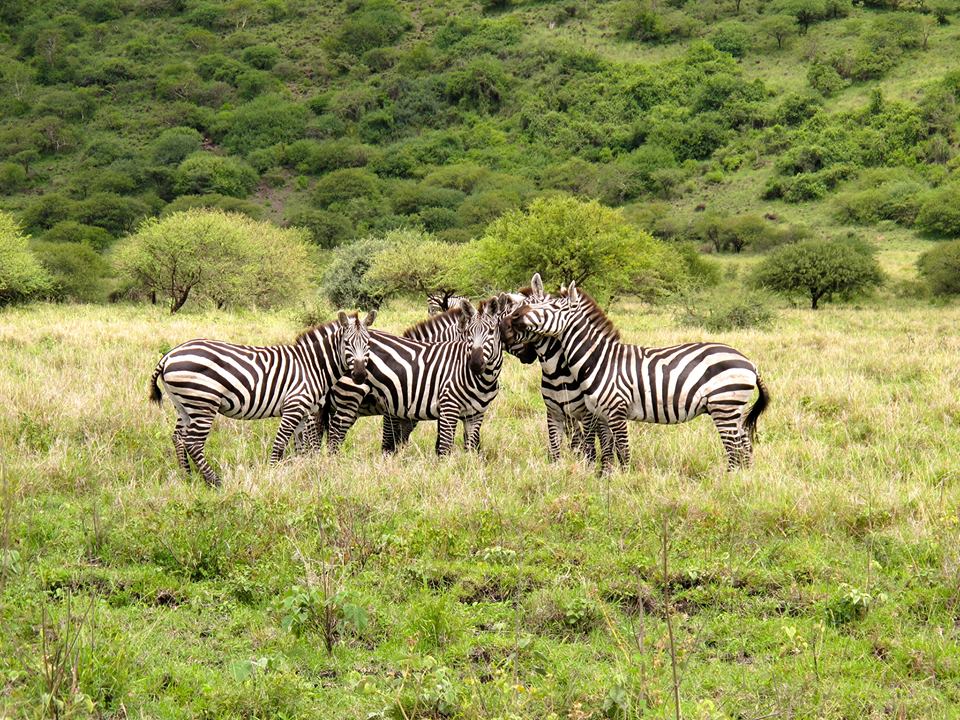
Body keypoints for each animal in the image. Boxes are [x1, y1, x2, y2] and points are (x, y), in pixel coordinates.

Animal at [150, 312, 376, 486]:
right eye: (346, 343)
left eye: (368, 344)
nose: (359, 376)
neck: (313, 364)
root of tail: (169, 355)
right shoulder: (294, 405)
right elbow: (281, 442)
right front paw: (273, 473)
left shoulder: (304, 411)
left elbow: (301, 446)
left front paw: (302, 472)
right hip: (203, 403)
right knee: (193, 442)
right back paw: (215, 481)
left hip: (184, 406)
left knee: (178, 438)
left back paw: (187, 476)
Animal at [326, 298, 510, 456]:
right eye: (469, 333)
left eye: (492, 331)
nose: (475, 365)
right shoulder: (396, 409)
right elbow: (394, 441)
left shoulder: (471, 413)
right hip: (349, 397)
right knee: (335, 432)